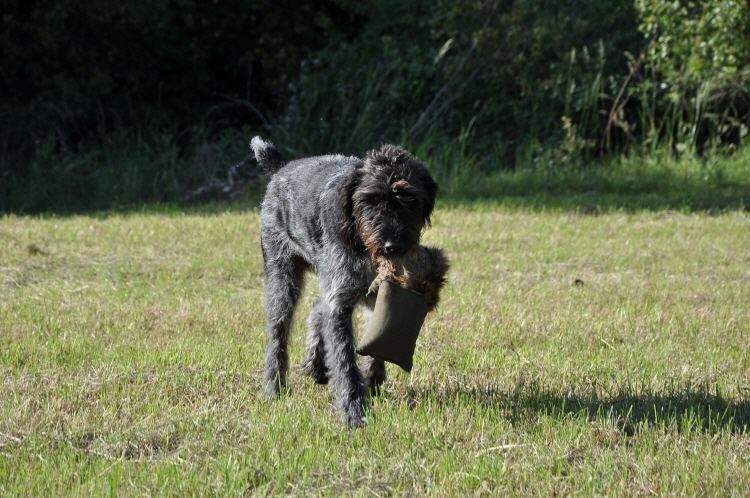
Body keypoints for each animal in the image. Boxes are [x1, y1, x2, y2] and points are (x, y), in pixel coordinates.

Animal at [253, 136, 437, 427]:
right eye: (370, 199)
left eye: (409, 198)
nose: (391, 246)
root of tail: (281, 167)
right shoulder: (340, 297)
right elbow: (344, 357)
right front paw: (354, 411)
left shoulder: (374, 293)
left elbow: (376, 339)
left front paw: (372, 381)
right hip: (282, 278)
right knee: (278, 334)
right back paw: (274, 387)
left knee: (317, 308)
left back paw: (315, 365)